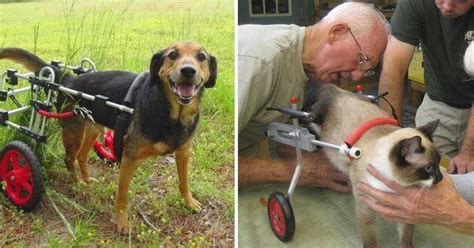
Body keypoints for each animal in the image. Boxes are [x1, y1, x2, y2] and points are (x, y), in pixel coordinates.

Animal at [0, 40, 218, 232]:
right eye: (172, 55)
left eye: (201, 57)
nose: (188, 71)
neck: (173, 114)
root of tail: (68, 79)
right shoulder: (129, 159)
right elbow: (122, 196)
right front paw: (121, 223)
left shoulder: (183, 153)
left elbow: (184, 182)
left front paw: (189, 202)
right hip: (73, 132)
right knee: (69, 159)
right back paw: (77, 182)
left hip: (93, 129)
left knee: (81, 156)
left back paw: (87, 179)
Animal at [306, 83, 442, 248]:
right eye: (429, 168)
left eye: (439, 163)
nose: (440, 178)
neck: (393, 186)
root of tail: (337, 91)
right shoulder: (366, 210)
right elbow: (370, 240)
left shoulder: (404, 214)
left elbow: (405, 240)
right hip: (315, 124)